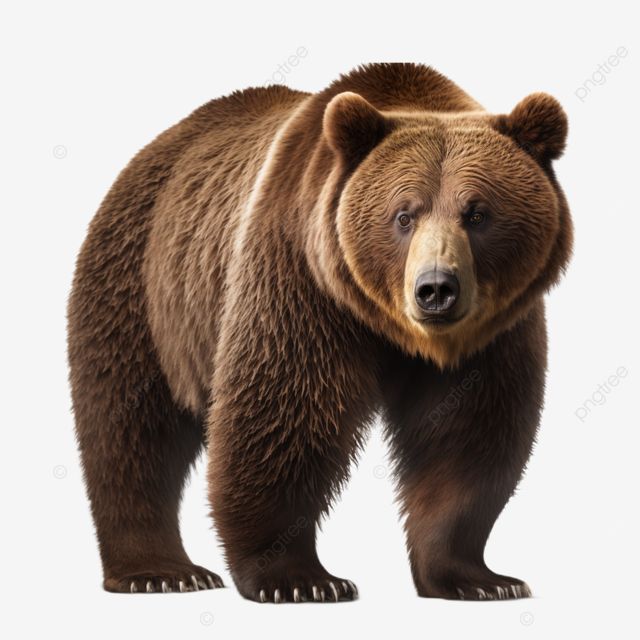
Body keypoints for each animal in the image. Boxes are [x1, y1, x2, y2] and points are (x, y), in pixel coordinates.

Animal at [67, 63, 572, 603]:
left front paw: (479, 579)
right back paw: (163, 571)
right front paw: (300, 579)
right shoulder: (301, 278)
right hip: (145, 288)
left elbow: (469, 436)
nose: (436, 288)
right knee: (129, 425)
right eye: (404, 214)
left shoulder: (494, 333)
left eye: (477, 212)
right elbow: (281, 414)